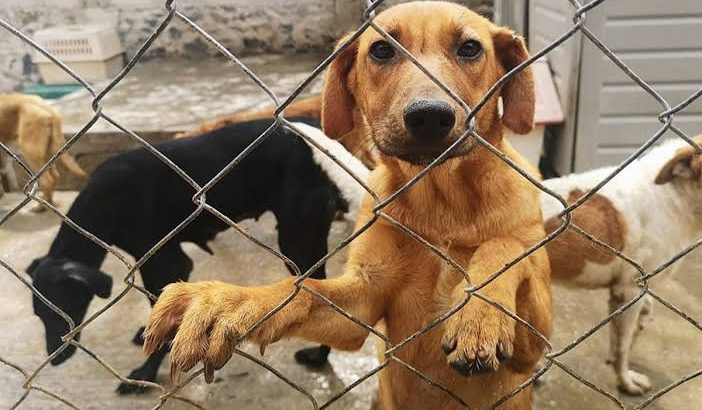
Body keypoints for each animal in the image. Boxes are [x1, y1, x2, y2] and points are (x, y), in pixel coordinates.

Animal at [27, 118, 368, 394]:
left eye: (64, 308)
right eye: (39, 314)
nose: (55, 358)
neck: (103, 200)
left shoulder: (163, 262)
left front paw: (145, 373)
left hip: (297, 242)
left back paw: (319, 355)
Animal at [143, 2, 552, 406]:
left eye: (470, 48)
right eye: (382, 50)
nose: (430, 116)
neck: (442, 205)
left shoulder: (534, 345)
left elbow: (504, 247)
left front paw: (479, 315)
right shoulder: (361, 304)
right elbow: (302, 289)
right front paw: (227, 301)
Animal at [540, 136, 700, 396]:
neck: (673, 193)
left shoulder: (625, 290)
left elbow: (629, 327)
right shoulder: (630, 290)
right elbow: (623, 346)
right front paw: (625, 381)